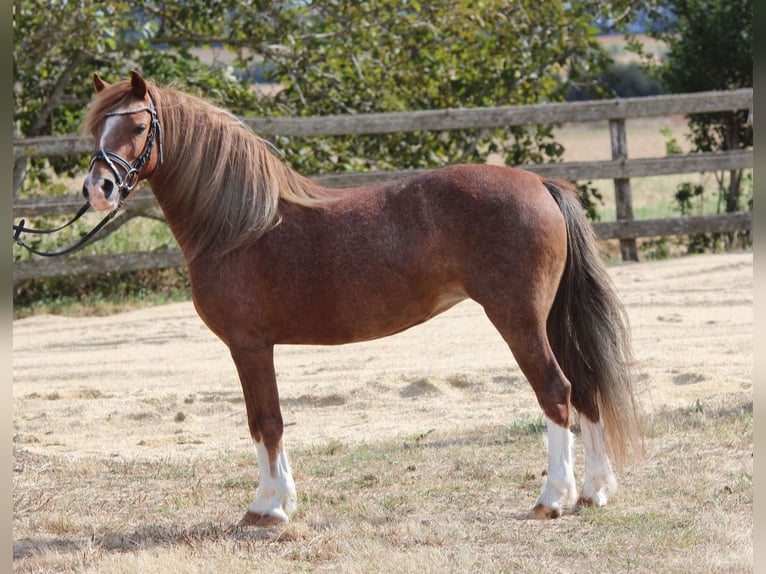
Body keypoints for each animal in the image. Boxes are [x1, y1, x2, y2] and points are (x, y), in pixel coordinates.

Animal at [81, 72, 644, 528]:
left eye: (138, 126)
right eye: (95, 129)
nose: (98, 188)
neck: (240, 225)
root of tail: (541, 183)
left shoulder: (249, 345)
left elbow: (266, 421)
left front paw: (268, 508)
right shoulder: (254, 348)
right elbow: (267, 421)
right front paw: (280, 501)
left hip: (518, 319)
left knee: (555, 390)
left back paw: (552, 499)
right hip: (549, 321)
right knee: (585, 386)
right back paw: (594, 492)